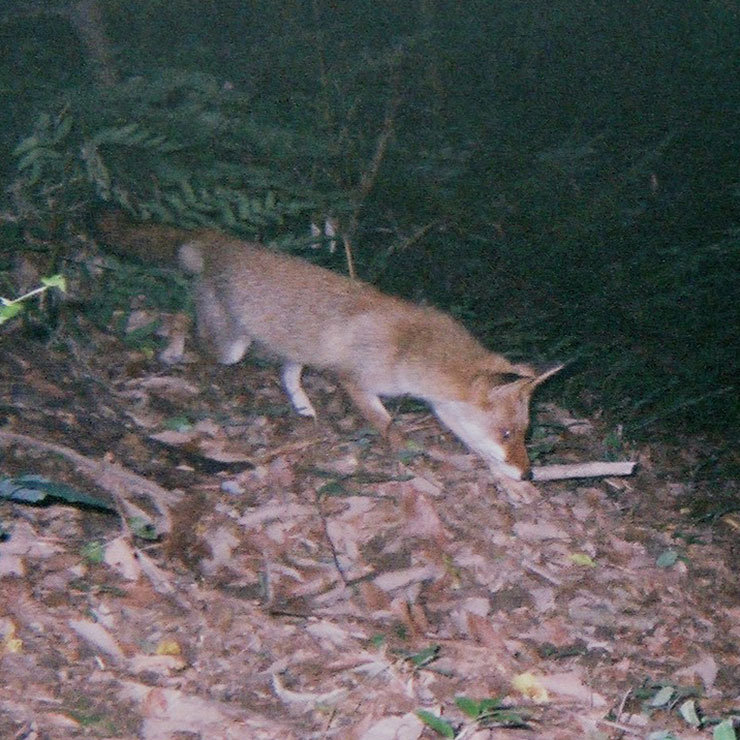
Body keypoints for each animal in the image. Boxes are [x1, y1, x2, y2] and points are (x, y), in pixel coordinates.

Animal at [98, 213, 560, 480]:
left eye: (525, 433)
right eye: (506, 432)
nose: (528, 474)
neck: (409, 349)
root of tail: (221, 240)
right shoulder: (357, 383)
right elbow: (388, 426)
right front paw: (407, 451)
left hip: (283, 349)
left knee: (286, 373)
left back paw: (303, 409)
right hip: (230, 345)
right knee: (175, 317)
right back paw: (166, 345)